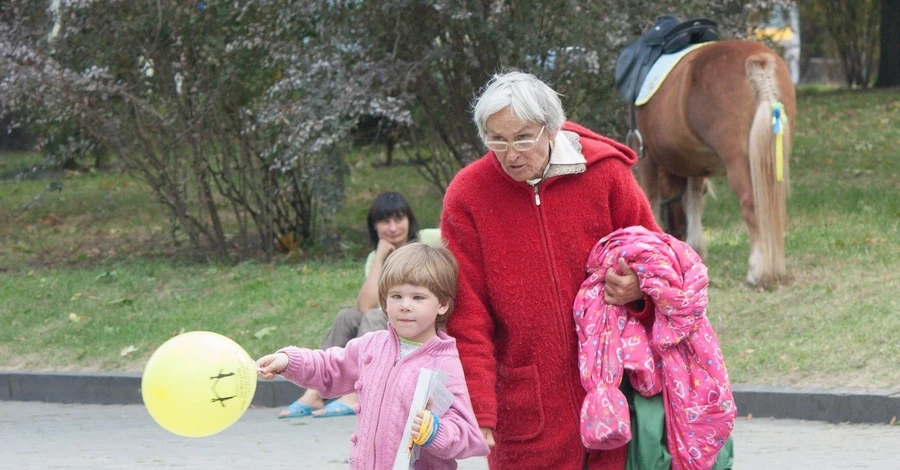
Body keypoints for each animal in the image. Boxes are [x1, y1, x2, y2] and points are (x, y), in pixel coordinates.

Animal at [636, 40, 800, 288]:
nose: (676, 235)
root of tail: (758, 61)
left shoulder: (648, 156)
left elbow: (651, 198)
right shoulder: (693, 162)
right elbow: (694, 199)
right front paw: (695, 247)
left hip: (739, 164)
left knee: (752, 207)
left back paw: (758, 273)